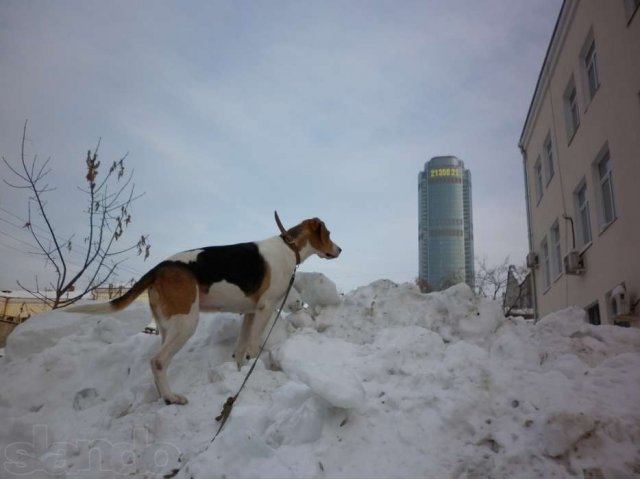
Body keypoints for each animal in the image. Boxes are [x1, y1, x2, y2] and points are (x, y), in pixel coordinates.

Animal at [66, 215, 340, 404]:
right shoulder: (265, 308)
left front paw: (239, 373)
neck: (289, 246)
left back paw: (163, 395)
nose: (340, 249)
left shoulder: (249, 312)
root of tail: (159, 268)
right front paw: (255, 368)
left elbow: (240, 350)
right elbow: (253, 346)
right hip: (187, 323)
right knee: (157, 361)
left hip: (169, 326)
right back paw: (172, 398)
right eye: (328, 233)